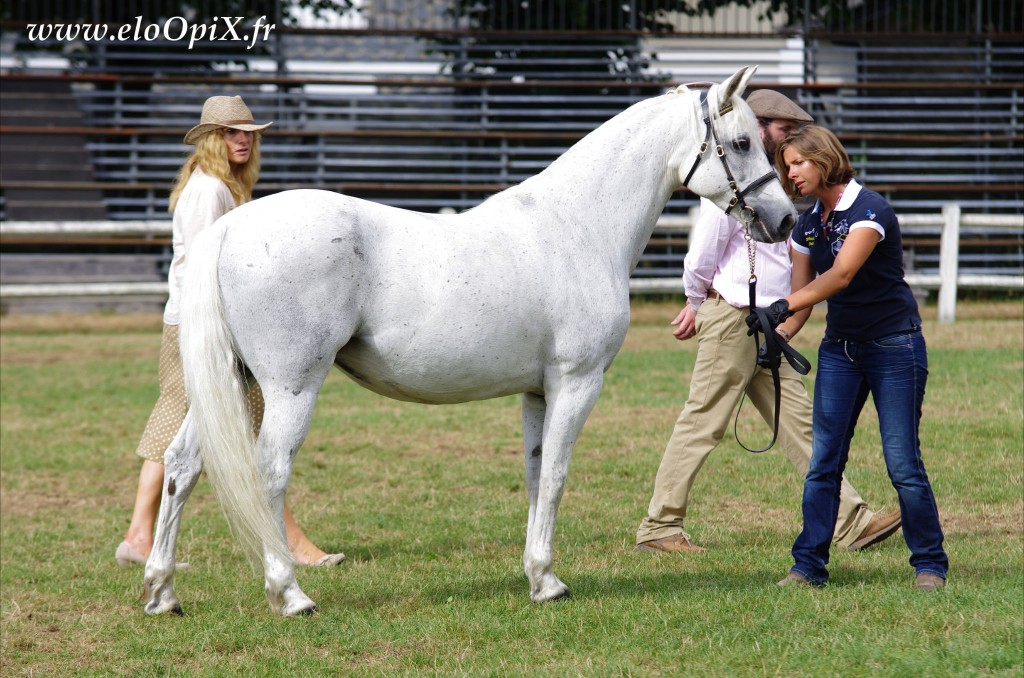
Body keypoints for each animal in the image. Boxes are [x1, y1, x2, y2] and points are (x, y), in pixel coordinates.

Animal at [140, 65, 794, 614]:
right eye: (742, 143)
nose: (785, 219)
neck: (577, 226)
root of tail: (231, 228)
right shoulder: (577, 383)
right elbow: (557, 477)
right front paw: (550, 582)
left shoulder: (538, 392)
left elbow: (535, 475)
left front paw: (537, 577)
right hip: (288, 388)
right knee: (268, 472)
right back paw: (291, 594)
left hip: (233, 381)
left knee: (182, 465)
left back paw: (162, 593)